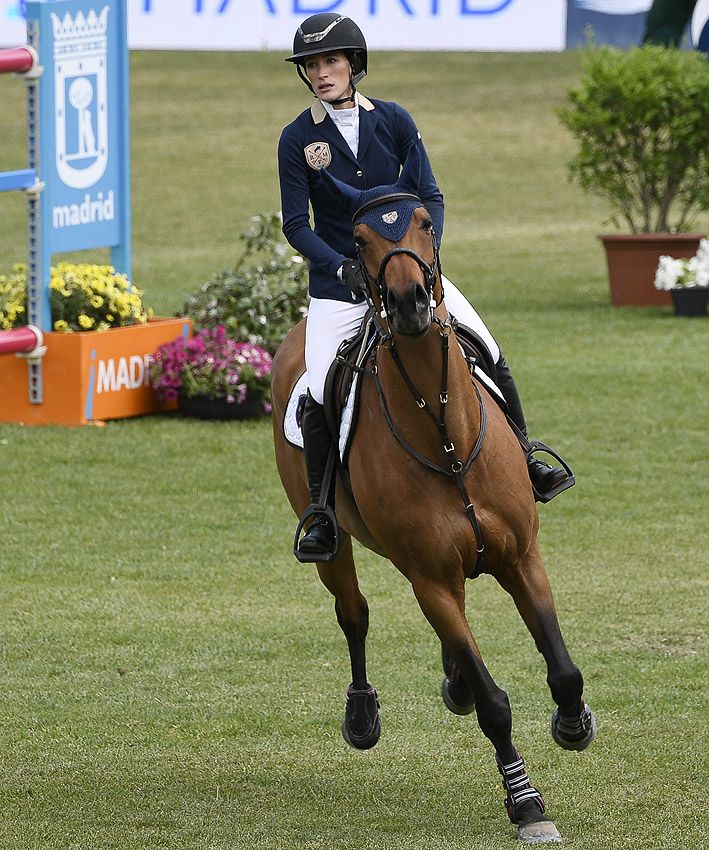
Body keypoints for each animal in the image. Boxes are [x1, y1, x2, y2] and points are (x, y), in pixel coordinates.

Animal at [274, 147, 596, 840]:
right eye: (360, 240)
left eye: (423, 221)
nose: (410, 301)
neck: (445, 434)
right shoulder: (430, 579)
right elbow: (496, 705)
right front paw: (526, 803)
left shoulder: (521, 556)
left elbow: (563, 667)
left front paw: (573, 723)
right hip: (339, 545)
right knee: (353, 612)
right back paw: (364, 714)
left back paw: (456, 682)